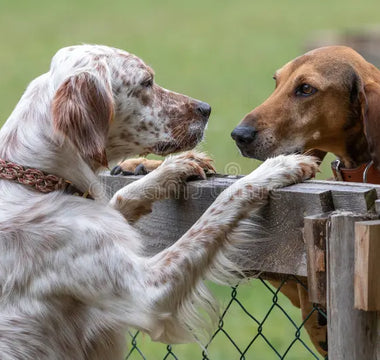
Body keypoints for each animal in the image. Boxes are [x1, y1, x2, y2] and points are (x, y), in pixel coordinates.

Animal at [0, 45, 318, 360]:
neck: (38, 179)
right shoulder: (148, 293)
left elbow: (124, 194)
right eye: (146, 82)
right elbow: (220, 205)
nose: (206, 109)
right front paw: (276, 168)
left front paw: (175, 167)